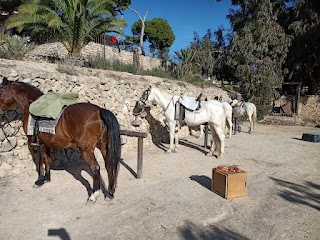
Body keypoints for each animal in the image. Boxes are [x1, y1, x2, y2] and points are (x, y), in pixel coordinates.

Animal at [0, 77, 121, 206]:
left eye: (0, 90)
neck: (30, 106)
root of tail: (99, 110)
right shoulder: (46, 144)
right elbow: (47, 160)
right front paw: (47, 178)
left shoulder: (36, 143)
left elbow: (40, 162)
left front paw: (39, 181)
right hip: (104, 146)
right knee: (109, 166)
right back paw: (109, 194)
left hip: (87, 150)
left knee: (95, 168)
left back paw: (93, 197)